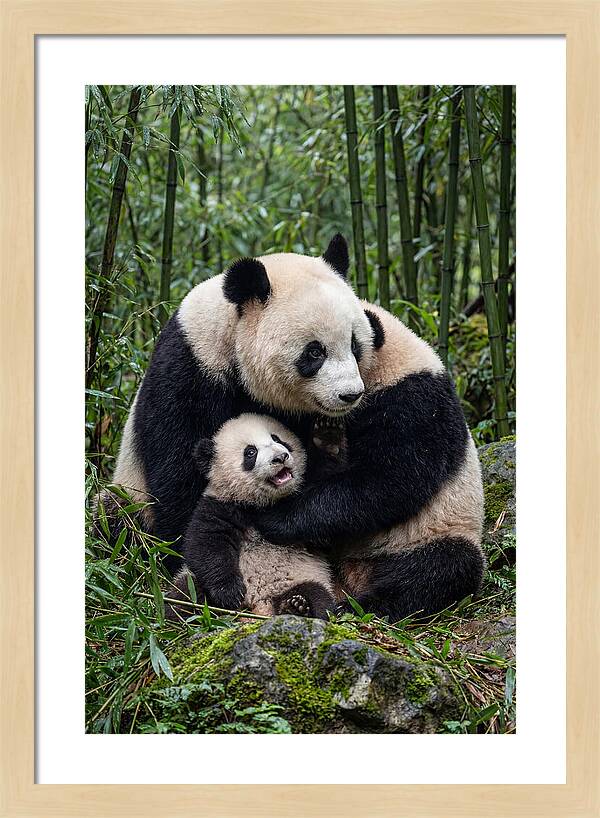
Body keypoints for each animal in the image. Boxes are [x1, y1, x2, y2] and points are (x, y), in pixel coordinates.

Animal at [169, 413, 335, 619]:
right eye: (250, 452)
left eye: (278, 439)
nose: (280, 457)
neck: (260, 502)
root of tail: (259, 605)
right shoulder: (219, 505)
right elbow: (206, 545)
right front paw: (229, 593)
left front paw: (327, 438)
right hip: (191, 582)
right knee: (182, 596)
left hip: (304, 577)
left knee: (318, 596)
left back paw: (297, 606)